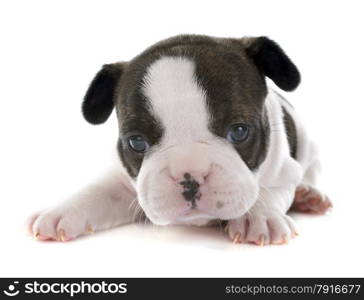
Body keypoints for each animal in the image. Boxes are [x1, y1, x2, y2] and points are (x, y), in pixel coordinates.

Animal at [27, 34, 332, 245]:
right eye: (136, 142)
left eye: (239, 131)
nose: (190, 175)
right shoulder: (124, 181)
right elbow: (97, 191)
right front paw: (60, 211)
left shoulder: (284, 170)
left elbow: (267, 190)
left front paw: (259, 217)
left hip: (312, 151)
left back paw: (309, 196)